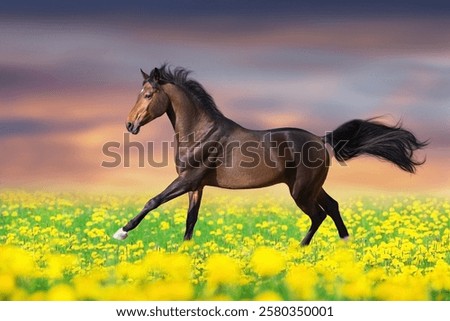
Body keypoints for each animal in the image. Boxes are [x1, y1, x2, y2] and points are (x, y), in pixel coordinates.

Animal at [112, 65, 426, 245]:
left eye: (149, 95)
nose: (130, 125)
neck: (201, 132)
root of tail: (321, 140)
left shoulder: (188, 180)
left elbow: (153, 201)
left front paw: (121, 232)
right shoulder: (196, 186)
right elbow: (191, 220)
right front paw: (185, 253)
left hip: (301, 191)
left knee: (319, 214)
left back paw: (300, 249)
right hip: (311, 187)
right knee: (333, 207)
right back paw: (345, 245)